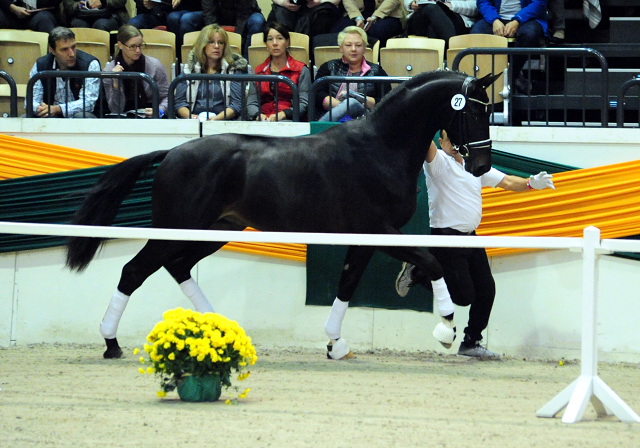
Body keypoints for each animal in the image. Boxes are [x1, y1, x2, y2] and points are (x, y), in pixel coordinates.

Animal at [67, 70, 502, 358]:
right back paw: (111, 343)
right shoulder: (381, 230)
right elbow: (432, 261)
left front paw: (335, 343)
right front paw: (446, 327)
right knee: (134, 271)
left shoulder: (365, 238)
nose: (481, 165)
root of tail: (172, 153)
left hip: (214, 230)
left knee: (178, 267)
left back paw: (220, 330)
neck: (380, 148)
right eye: (474, 112)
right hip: (176, 229)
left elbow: (347, 285)